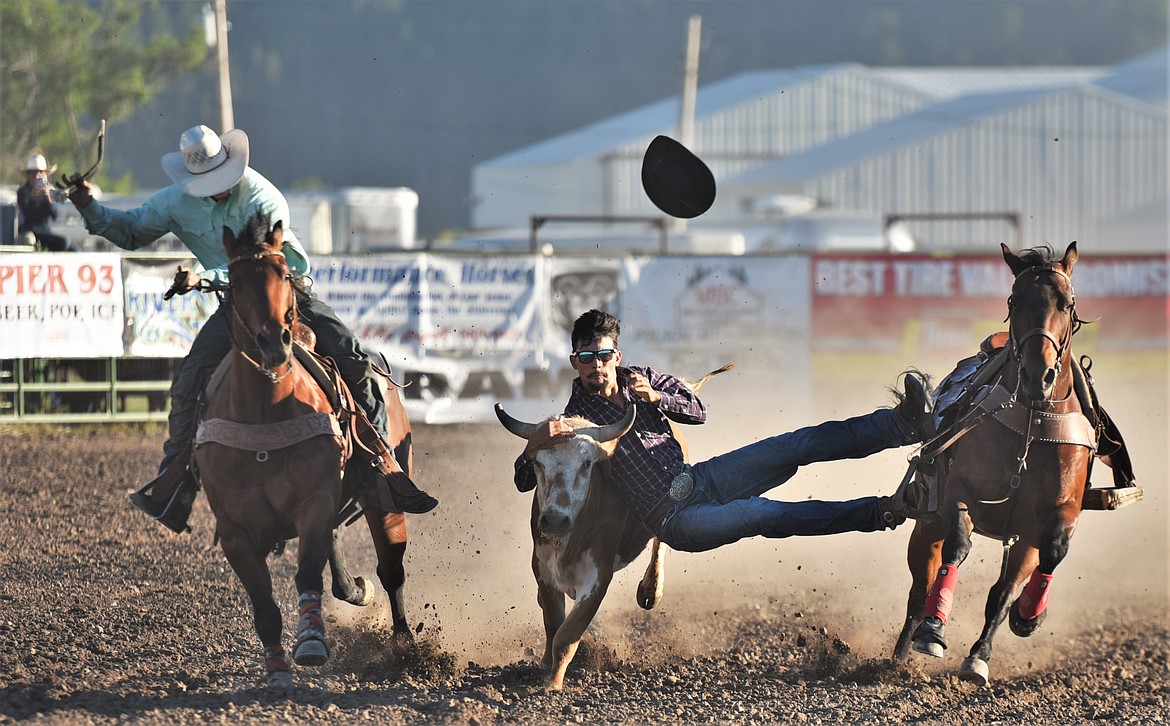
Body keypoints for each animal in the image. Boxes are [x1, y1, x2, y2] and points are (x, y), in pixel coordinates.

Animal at [196, 213, 421, 687]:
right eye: (235, 282)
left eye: (283, 273)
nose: (273, 342)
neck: (266, 411)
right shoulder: (233, 531)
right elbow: (263, 603)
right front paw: (277, 670)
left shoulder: (314, 503)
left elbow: (306, 573)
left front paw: (312, 642)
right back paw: (356, 592)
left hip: (386, 500)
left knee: (391, 571)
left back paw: (405, 646)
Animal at [893, 243, 1095, 687]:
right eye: (1014, 301)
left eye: (1066, 303)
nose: (1039, 375)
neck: (1032, 426)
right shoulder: (959, 494)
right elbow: (959, 546)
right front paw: (934, 631)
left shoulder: (1058, 514)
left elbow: (1051, 553)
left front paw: (1028, 616)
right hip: (928, 523)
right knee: (919, 589)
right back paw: (901, 653)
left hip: (1021, 539)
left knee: (1002, 591)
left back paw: (980, 654)